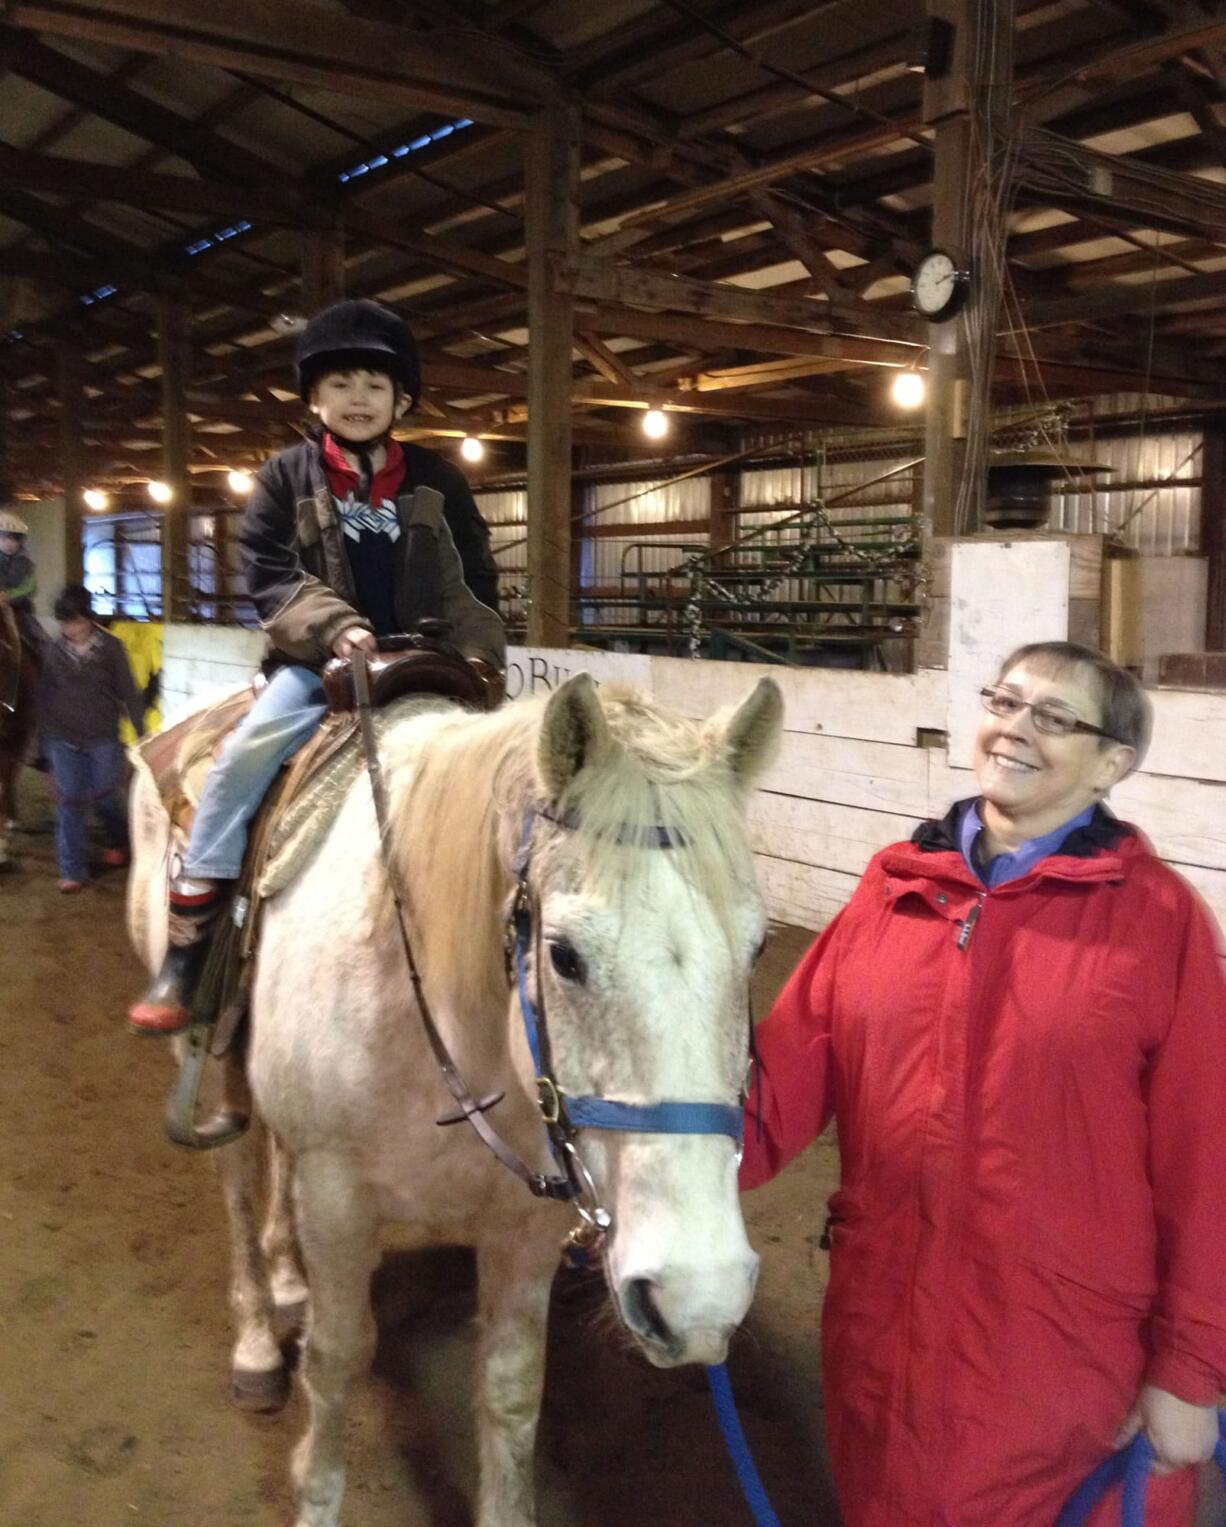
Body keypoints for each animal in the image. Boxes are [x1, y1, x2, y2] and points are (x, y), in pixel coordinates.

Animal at [129, 674, 781, 1527]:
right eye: (564, 955)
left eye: (757, 947)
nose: (696, 1297)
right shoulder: (338, 1199)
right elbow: (336, 1362)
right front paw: (315, 1490)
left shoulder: (524, 1226)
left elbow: (510, 1390)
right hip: (200, 1056)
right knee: (239, 1186)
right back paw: (259, 1343)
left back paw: (288, 1280)